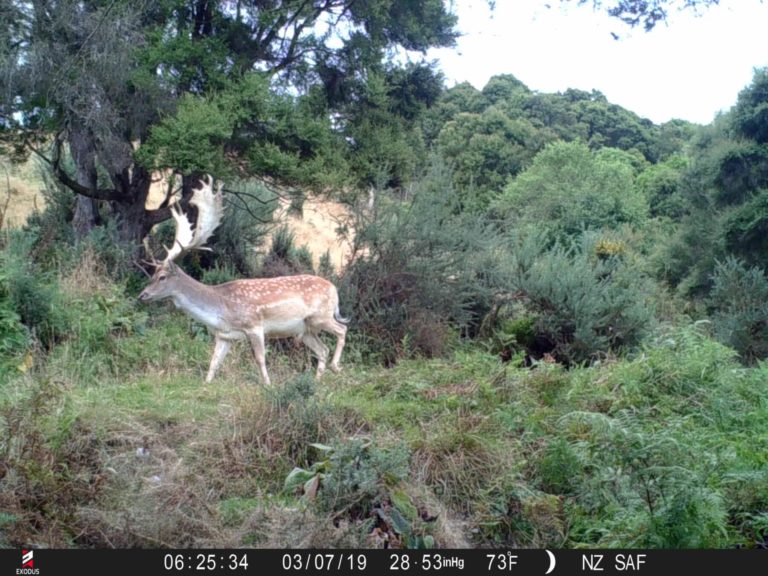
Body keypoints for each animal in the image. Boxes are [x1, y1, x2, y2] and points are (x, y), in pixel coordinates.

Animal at [138, 175, 348, 386]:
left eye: (162, 277)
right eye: (152, 274)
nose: (143, 295)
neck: (220, 310)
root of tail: (334, 289)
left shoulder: (254, 325)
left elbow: (260, 358)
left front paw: (268, 384)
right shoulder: (225, 336)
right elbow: (214, 362)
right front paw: (206, 384)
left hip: (321, 315)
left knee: (342, 329)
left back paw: (336, 366)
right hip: (305, 329)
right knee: (323, 349)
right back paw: (317, 380)